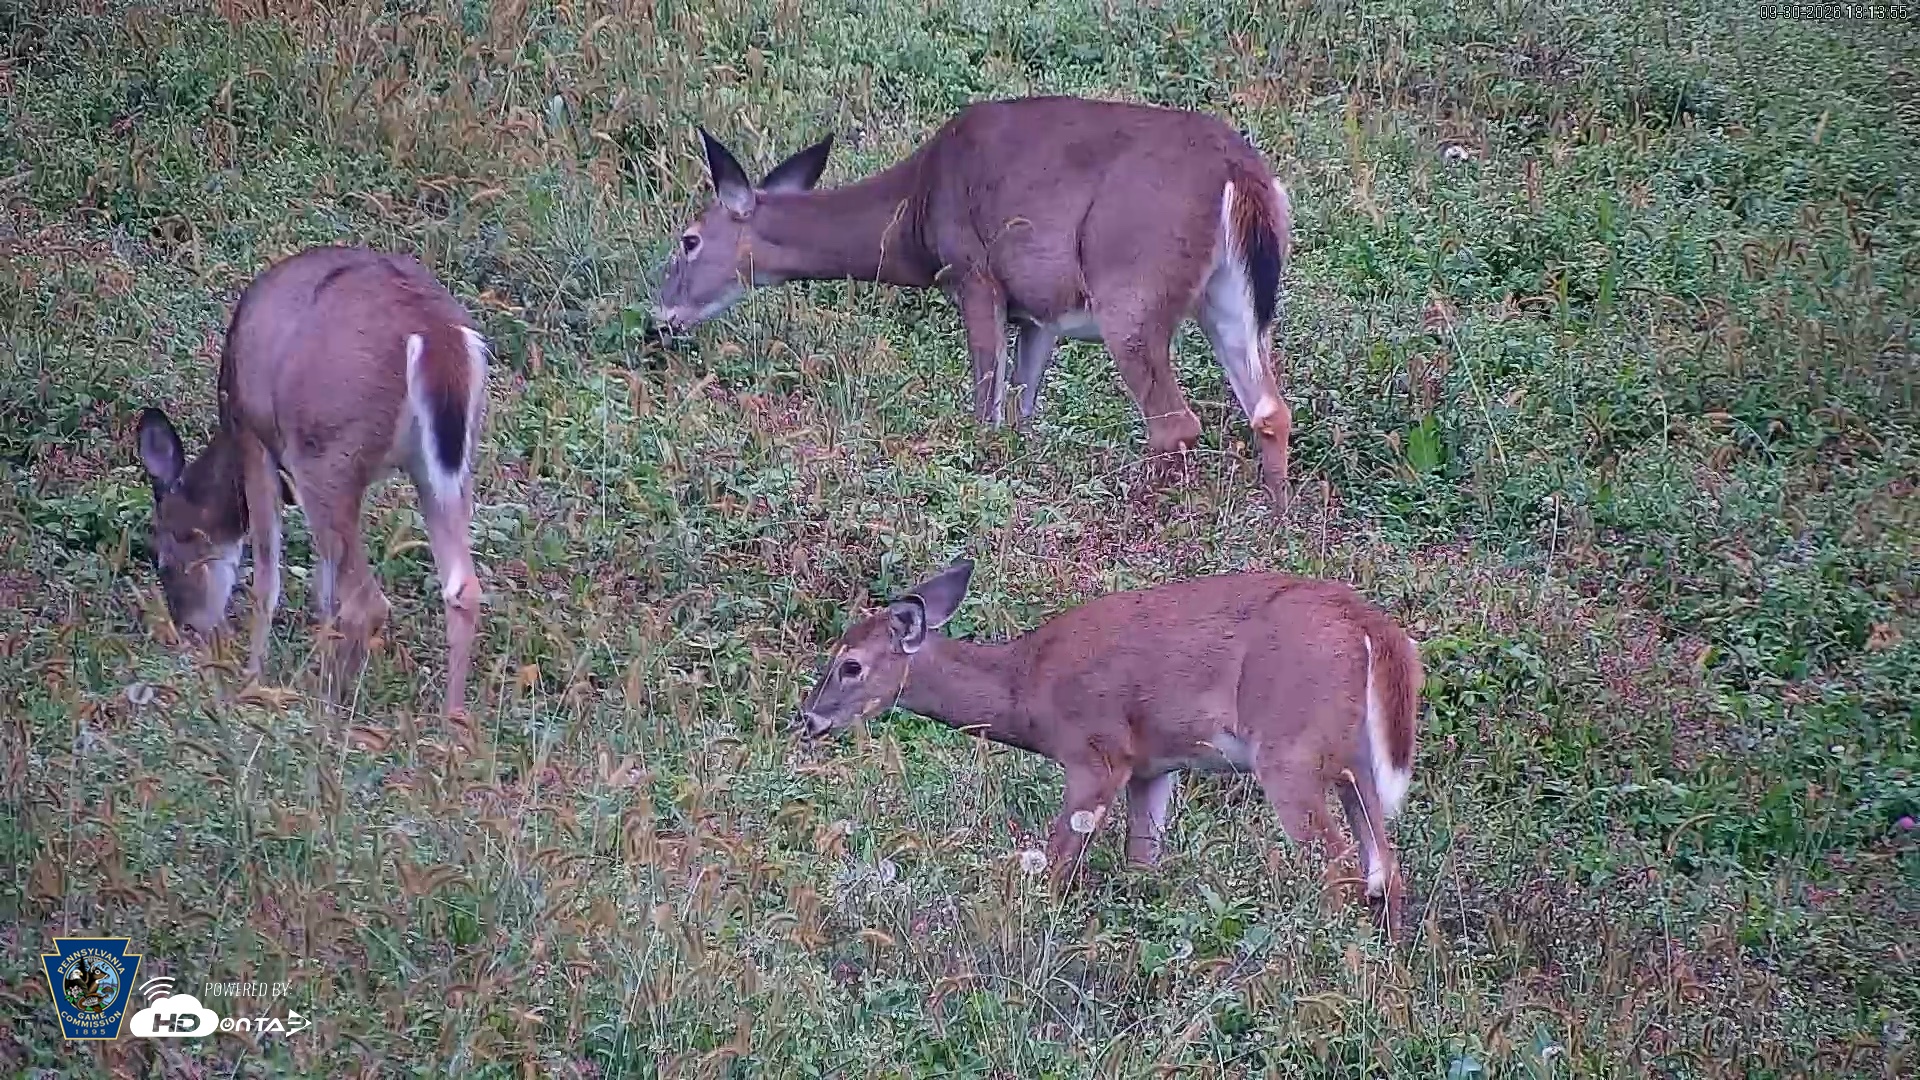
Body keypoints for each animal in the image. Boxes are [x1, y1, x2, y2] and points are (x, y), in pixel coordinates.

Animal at [134, 246, 489, 718]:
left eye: (161, 554)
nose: (189, 625)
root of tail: (435, 334)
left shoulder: (255, 437)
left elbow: (268, 574)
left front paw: (251, 680)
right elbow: (322, 584)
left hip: (326, 453)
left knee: (366, 602)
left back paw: (328, 709)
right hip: (443, 463)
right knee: (462, 588)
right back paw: (451, 721)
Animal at [651, 95, 1296, 509]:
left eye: (689, 239)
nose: (659, 318)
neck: (913, 214)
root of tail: (1242, 174)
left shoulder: (974, 272)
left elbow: (985, 410)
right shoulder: (1039, 311)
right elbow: (1022, 413)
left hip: (1129, 287)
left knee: (1176, 424)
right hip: (1228, 296)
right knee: (1268, 407)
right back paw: (1273, 519)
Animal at [795, 558, 1423, 934]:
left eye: (850, 665)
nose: (809, 718)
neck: (1026, 686)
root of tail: (1368, 624)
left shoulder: (1097, 752)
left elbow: (1058, 860)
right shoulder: (1154, 766)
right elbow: (1142, 859)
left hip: (1288, 751)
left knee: (1342, 869)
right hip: (1353, 760)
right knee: (1385, 867)